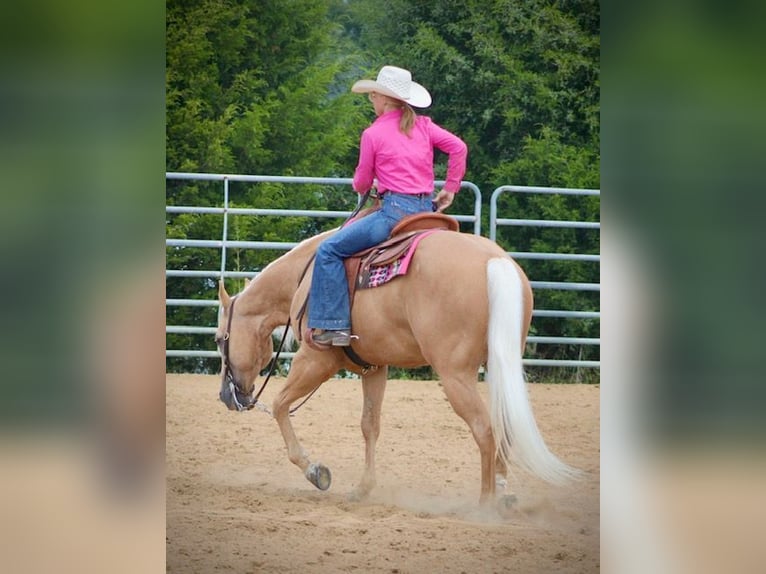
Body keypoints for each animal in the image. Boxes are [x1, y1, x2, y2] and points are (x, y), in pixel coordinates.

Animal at [215, 223, 580, 507]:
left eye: (219, 339)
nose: (226, 397)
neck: (303, 279)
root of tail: (495, 261)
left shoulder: (316, 359)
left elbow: (279, 405)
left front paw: (315, 471)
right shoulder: (375, 367)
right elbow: (369, 425)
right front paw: (363, 488)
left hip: (455, 375)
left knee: (483, 427)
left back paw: (486, 503)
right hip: (499, 365)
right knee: (503, 424)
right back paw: (503, 493)